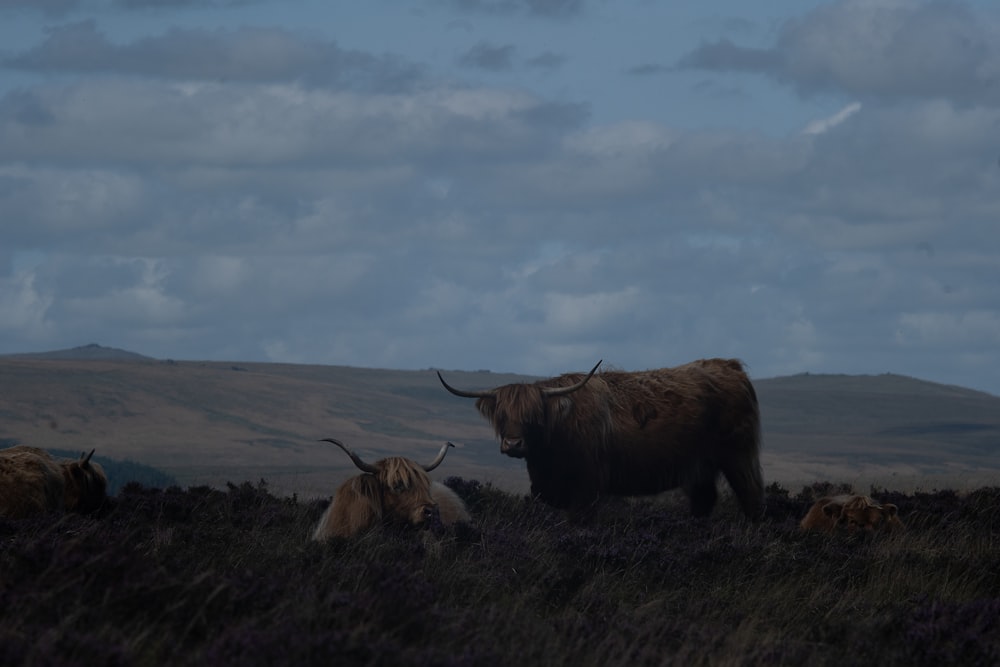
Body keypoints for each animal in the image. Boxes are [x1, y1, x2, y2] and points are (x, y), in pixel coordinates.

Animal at [438, 358, 764, 520]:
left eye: (533, 415)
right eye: (503, 415)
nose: (514, 445)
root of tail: (729, 365)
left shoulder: (586, 489)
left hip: (737, 456)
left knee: (751, 498)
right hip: (698, 467)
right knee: (703, 501)